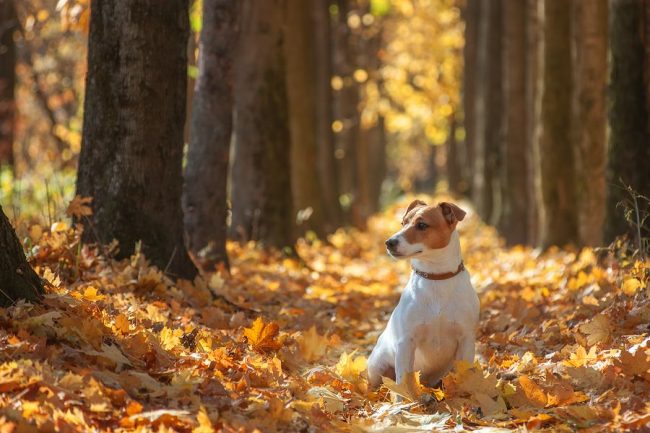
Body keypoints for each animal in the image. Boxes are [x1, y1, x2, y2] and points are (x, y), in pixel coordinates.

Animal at [368, 200, 478, 388]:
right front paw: (404, 397)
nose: (389, 242)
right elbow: (403, 380)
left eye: (422, 225)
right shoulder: (406, 342)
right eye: (403, 223)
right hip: (377, 366)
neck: (436, 277)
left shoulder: (466, 339)